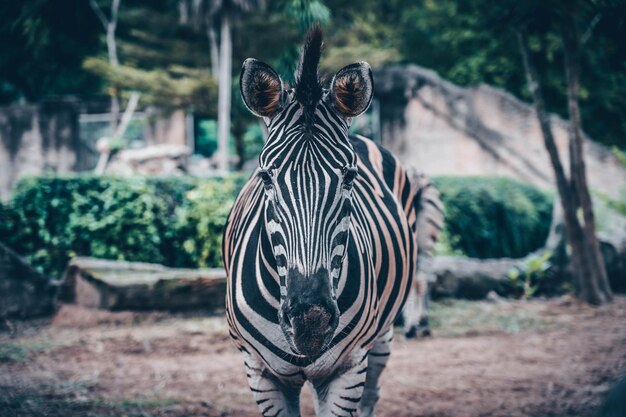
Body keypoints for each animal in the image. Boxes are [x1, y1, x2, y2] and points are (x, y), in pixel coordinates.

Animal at [221, 27, 420, 414]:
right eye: (266, 176)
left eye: (350, 177)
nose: (310, 322)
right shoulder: (260, 372)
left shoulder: (346, 369)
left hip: (381, 335)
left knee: (373, 390)